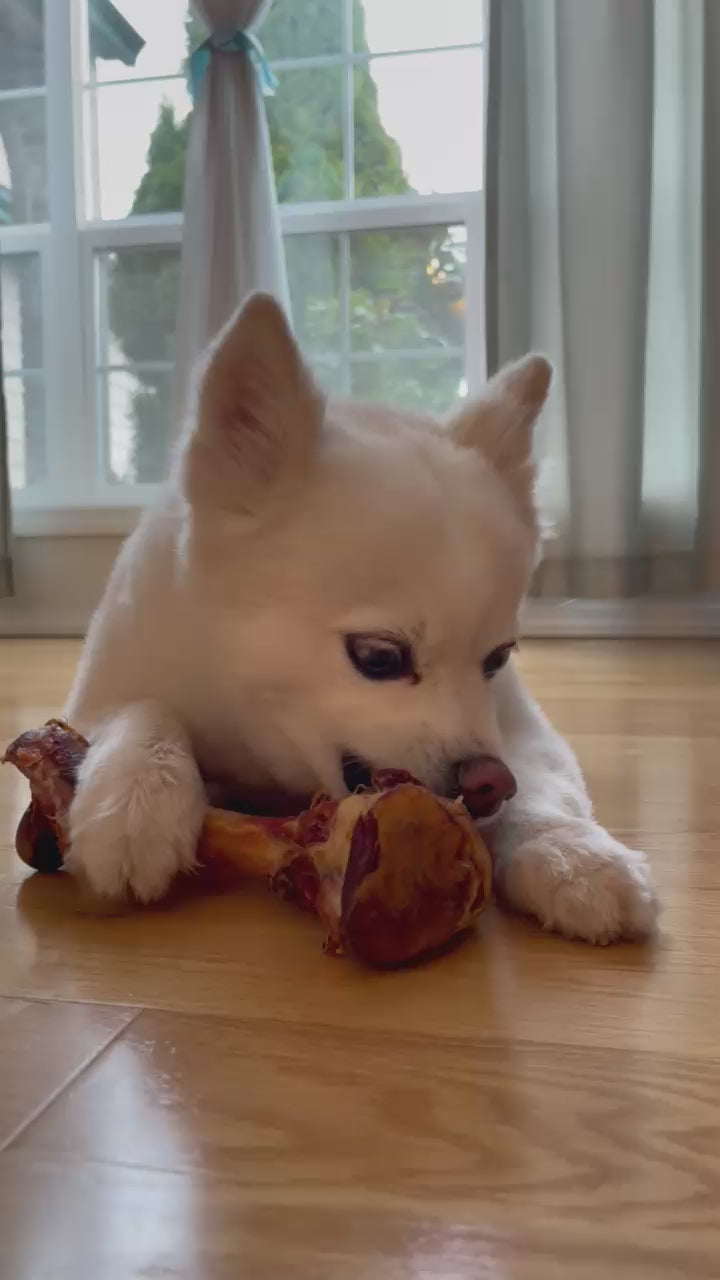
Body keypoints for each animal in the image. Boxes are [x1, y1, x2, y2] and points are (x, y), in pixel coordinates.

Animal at [64, 294, 661, 947]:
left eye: (497, 659)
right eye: (379, 657)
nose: (488, 782)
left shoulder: (520, 727)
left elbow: (542, 788)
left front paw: (573, 856)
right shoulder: (98, 693)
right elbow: (139, 711)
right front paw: (137, 799)